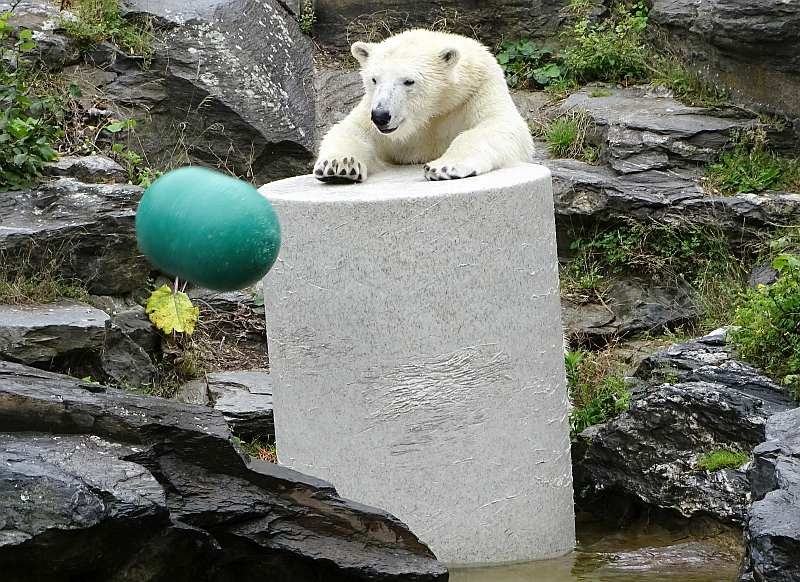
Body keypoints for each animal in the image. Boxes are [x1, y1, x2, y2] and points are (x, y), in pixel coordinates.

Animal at [316, 29, 536, 182]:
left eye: (408, 81)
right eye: (374, 79)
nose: (381, 116)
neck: (432, 110)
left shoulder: (476, 90)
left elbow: (499, 125)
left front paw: (444, 167)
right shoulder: (371, 109)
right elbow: (353, 130)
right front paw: (339, 165)